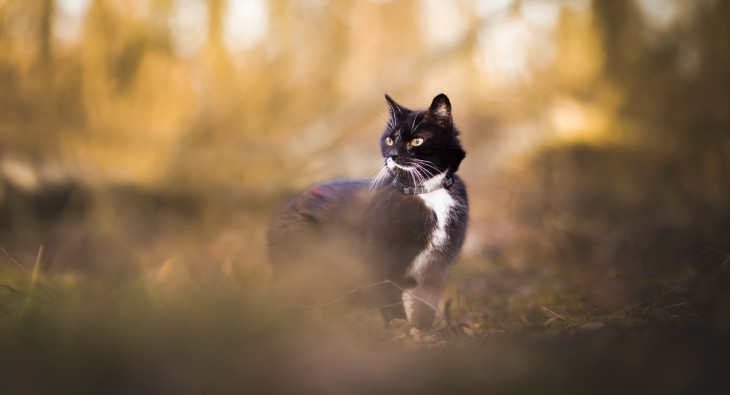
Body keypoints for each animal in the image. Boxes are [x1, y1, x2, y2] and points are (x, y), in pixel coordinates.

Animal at [268, 93, 466, 332]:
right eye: (389, 140)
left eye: (416, 141)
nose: (393, 155)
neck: (427, 193)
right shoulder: (381, 259)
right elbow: (390, 303)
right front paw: (400, 332)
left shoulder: (437, 267)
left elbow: (424, 305)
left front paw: (422, 333)